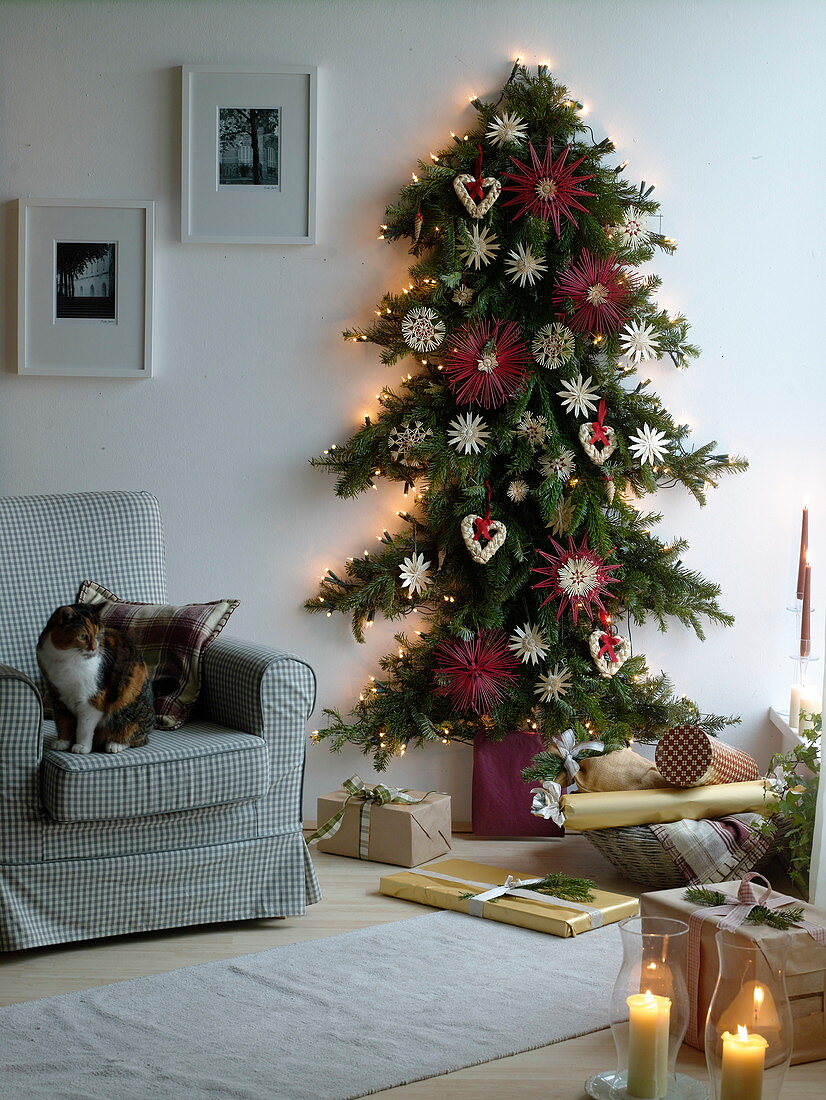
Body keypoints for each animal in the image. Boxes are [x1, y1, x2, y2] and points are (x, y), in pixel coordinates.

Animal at [36, 602, 155, 756]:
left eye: (98, 635)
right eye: (82, 636)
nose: (94, 648)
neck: (66, 659)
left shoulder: (92, 700)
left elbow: (84, 728)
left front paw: (81, 746)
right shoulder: (57, 697)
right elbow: (63, 721)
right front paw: (63, 741)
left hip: (128, 707)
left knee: (134, 736)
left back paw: (115, 744)